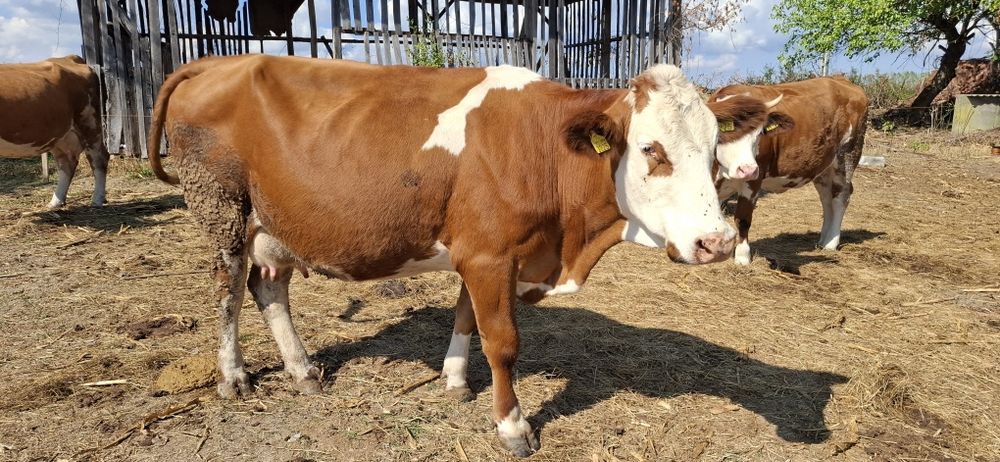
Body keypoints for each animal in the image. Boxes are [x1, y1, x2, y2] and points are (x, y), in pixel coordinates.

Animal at [0, 55, 108, 208]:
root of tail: (69, 58)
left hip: (89, 121)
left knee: (99, 158)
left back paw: (97, 199)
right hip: (60, 136)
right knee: (67, 163)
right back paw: (56, 202)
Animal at [147, 55, 771, 456]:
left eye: (714, 149)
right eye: (650, 149)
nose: (716, 242)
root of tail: (220, 60)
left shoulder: (483, 252)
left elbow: (466, 315)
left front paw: (453, 379)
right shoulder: (490, 254)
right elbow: (503, 342)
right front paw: (513, 426)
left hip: (272, 223)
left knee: (268, 286)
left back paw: (302, 370)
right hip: (221, 206)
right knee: (227, 290)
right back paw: (232, 375)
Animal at [709, 76, 869, 265]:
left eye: (759, 134)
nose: (748, 169)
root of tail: (841, 79)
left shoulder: (754, 179)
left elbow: (743, 218)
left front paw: (742, 257)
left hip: (847, 155)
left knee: (841, 195)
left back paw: (832, 243)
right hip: (823, 167)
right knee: (826, 198)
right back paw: (824, 239)